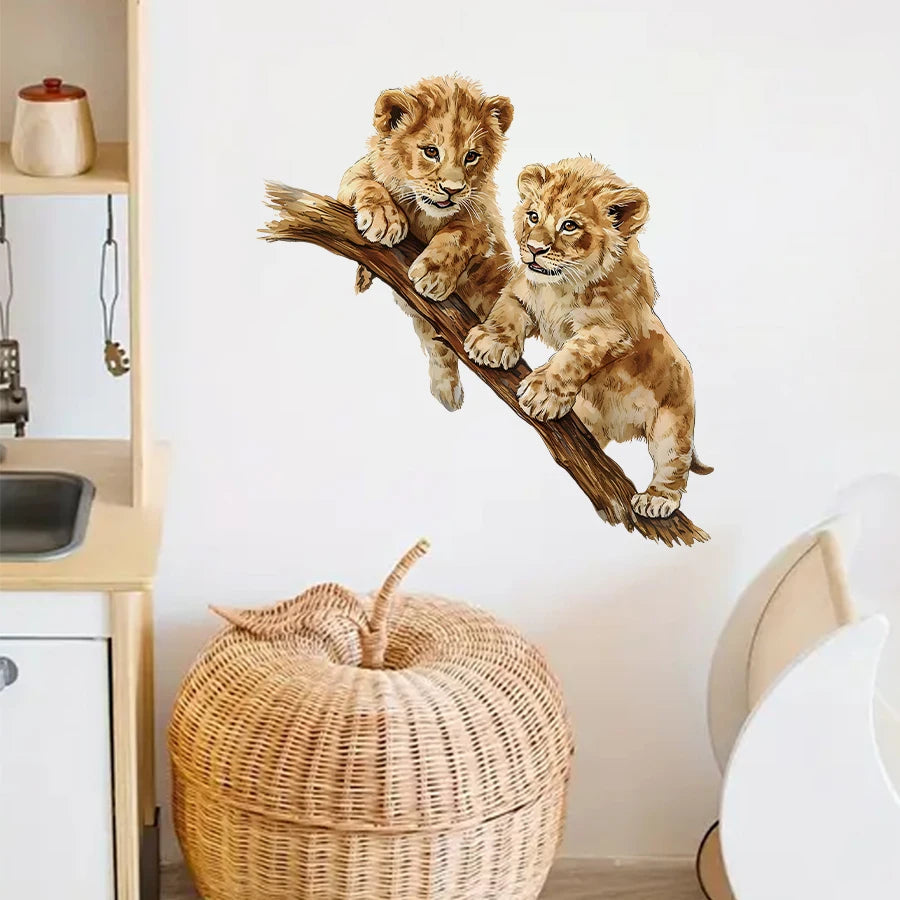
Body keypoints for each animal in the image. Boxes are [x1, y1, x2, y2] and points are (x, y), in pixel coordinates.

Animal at [338, 75, 513, 411]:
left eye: (471, 156)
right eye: (431, 151)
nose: (453, 190)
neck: (424, 213)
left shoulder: (484, 217)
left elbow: (460, 231)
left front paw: (433, 274)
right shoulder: (354, 176)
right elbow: (363, 182)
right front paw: (384, 218)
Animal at [465, 157, 712, 518]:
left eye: (569, 226)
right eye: (533, 216)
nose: (534, 249)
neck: (560, 286)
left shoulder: (612, 330)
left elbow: (574, 353)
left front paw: (542, 393)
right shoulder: (522, 293)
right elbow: (505, 311)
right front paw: (491, 343)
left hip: (673, 421)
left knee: (673, 463)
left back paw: (657, 499)